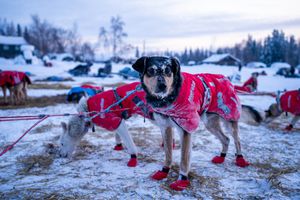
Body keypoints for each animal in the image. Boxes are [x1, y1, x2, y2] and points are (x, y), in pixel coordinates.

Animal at [132, 56, 252, 191]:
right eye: (151, 70)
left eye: (168, 71)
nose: (163, 85)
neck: (169, 98)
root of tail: (226, 79)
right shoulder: (165, 127)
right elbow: (168, 154)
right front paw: (164, 171)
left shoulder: (186, 129)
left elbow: (184, 159)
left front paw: (182, 180)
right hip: (210, 123)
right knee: (226, 139)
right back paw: (221, 157)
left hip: (230, 119)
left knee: (237, 140)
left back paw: (240, 159)